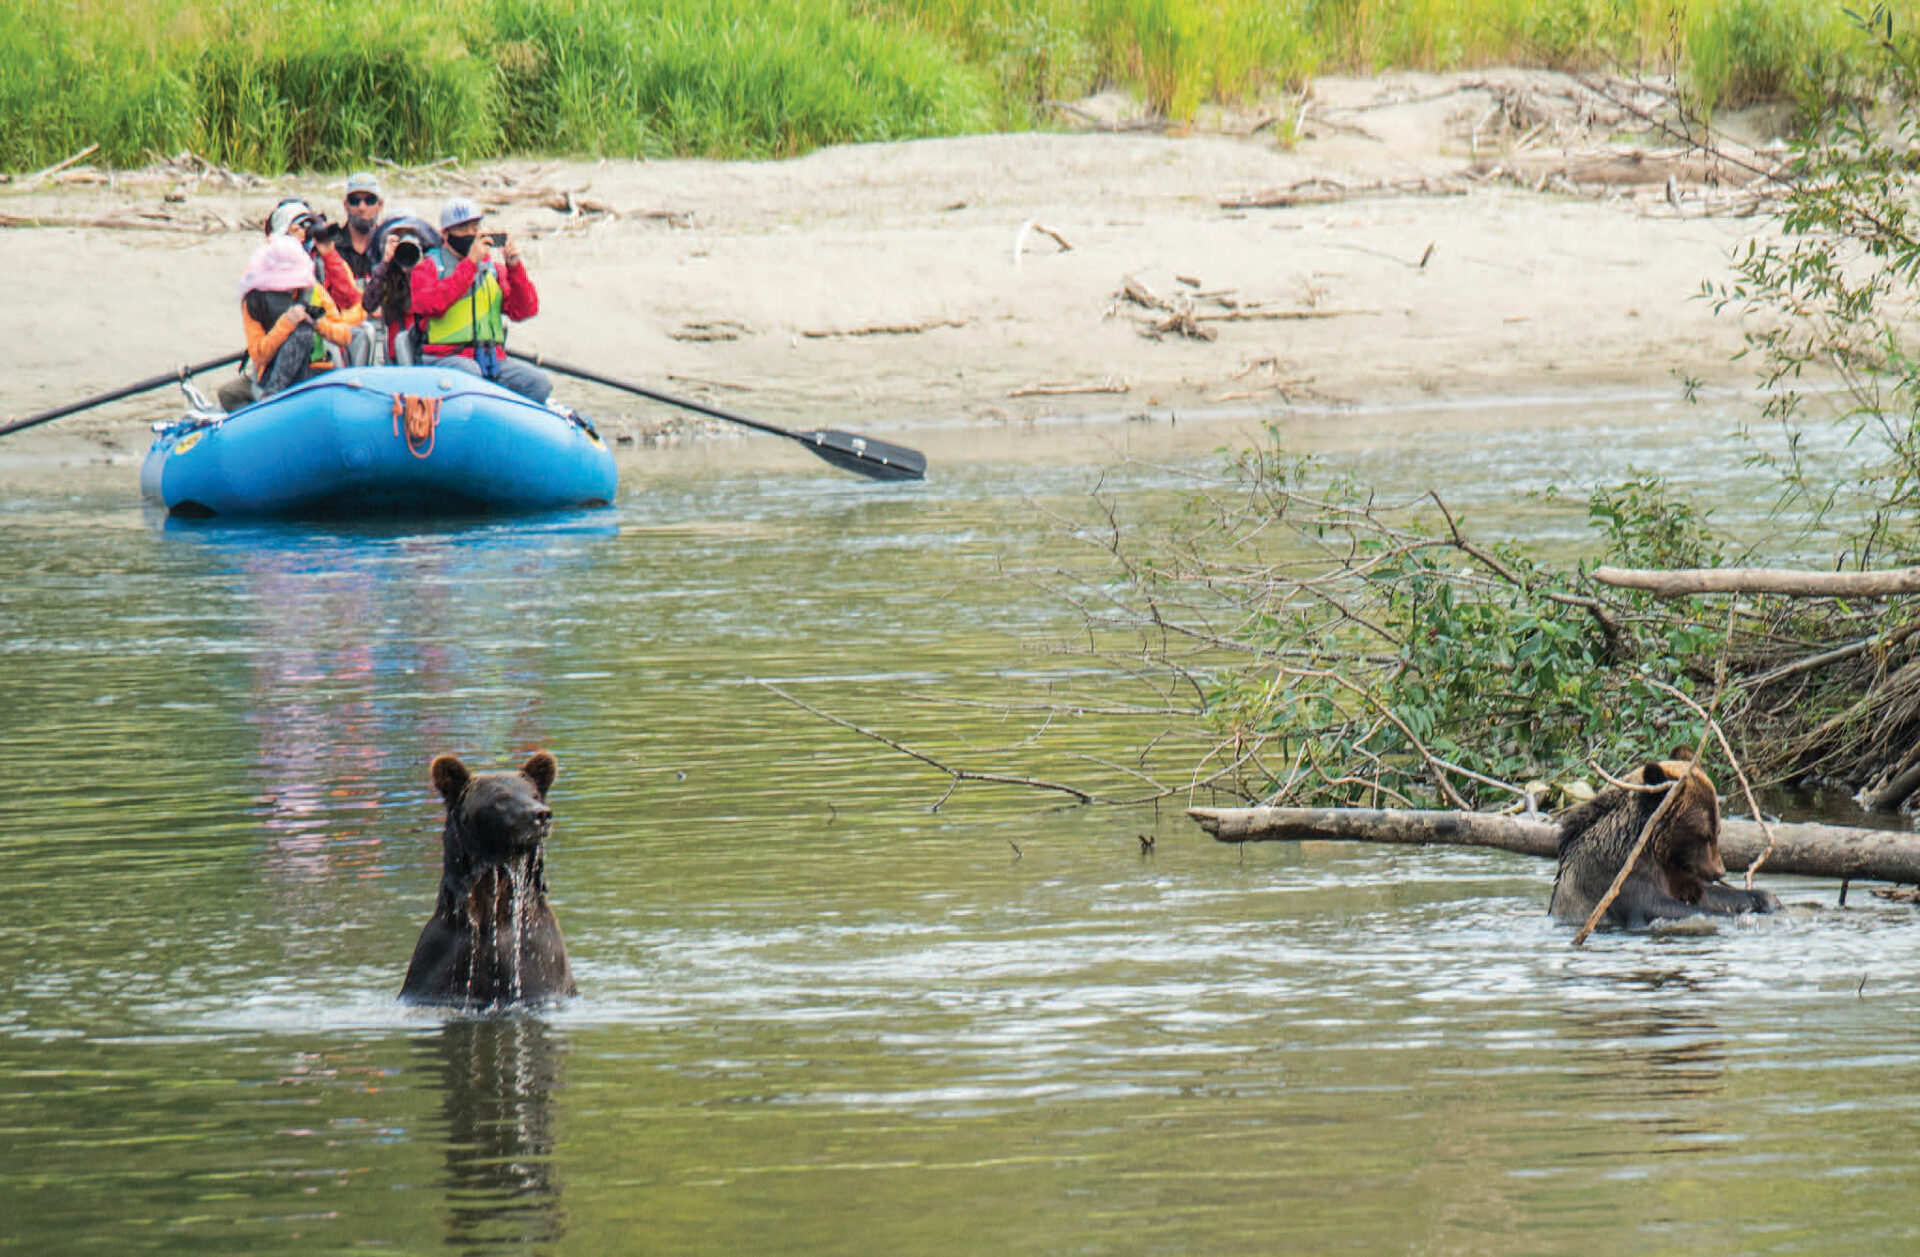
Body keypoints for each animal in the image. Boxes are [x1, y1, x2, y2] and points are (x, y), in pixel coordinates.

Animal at [1551, 752, 1774, 928]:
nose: (1719, 871)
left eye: (1717, 830)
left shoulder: (1676, 871)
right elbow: (1656, 906)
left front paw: (1766, 899)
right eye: (1704, 834)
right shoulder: (1615, 874)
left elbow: (1703, 893)